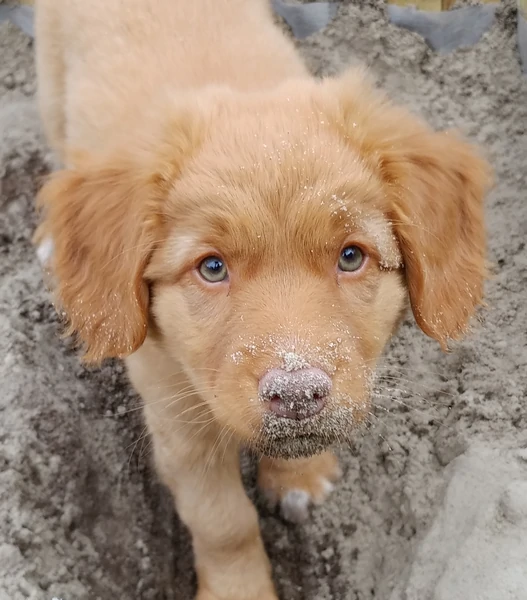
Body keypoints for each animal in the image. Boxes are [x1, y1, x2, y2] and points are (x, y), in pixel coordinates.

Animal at [35, 1, 492, 600]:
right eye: (212, 268)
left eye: (351, 257)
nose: (297, 396)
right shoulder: (175, 418)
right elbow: (223, 523)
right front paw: (240, 589)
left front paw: (300, 476)